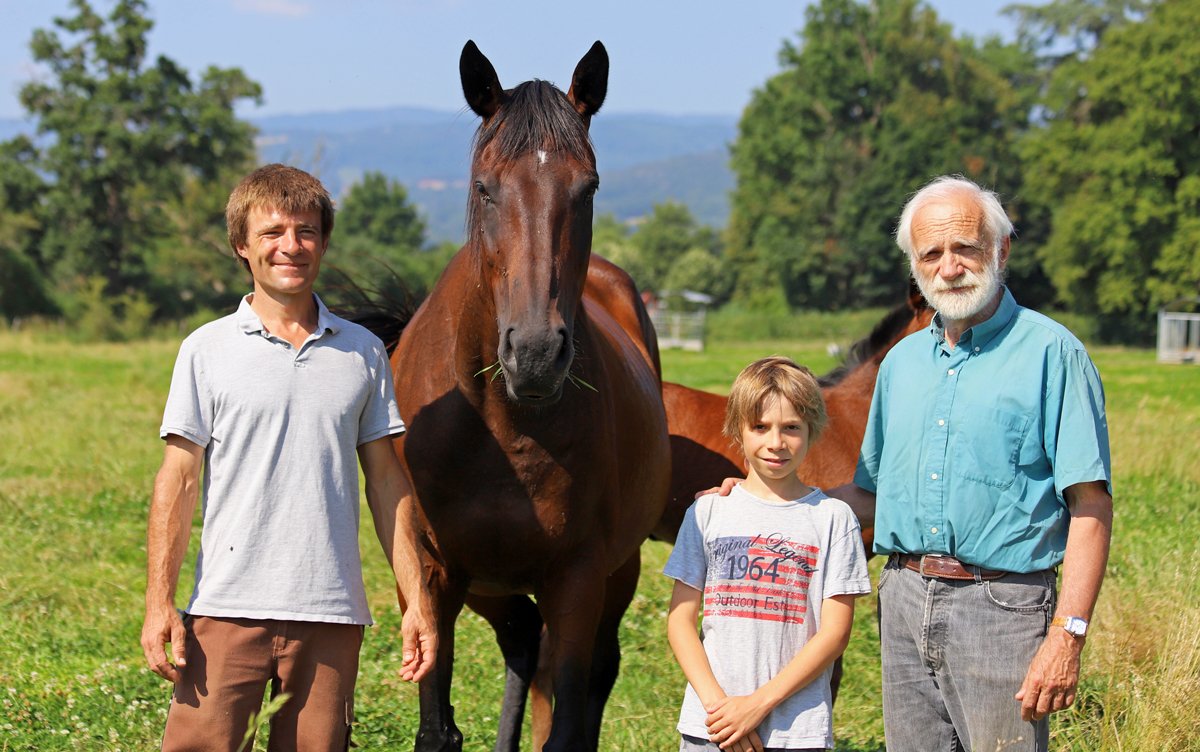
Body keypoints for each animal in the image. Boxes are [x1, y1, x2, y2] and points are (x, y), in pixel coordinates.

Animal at [384, 41, 670, 752]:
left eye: (587, 188)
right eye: (485, 188)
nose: (536, 353)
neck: (498, 426)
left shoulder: (577, 577)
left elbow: (566, 719)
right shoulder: (429, 575)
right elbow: (437, 728)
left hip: (614, 576)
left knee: (584, 668)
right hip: (488, 584)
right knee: (520, 643)